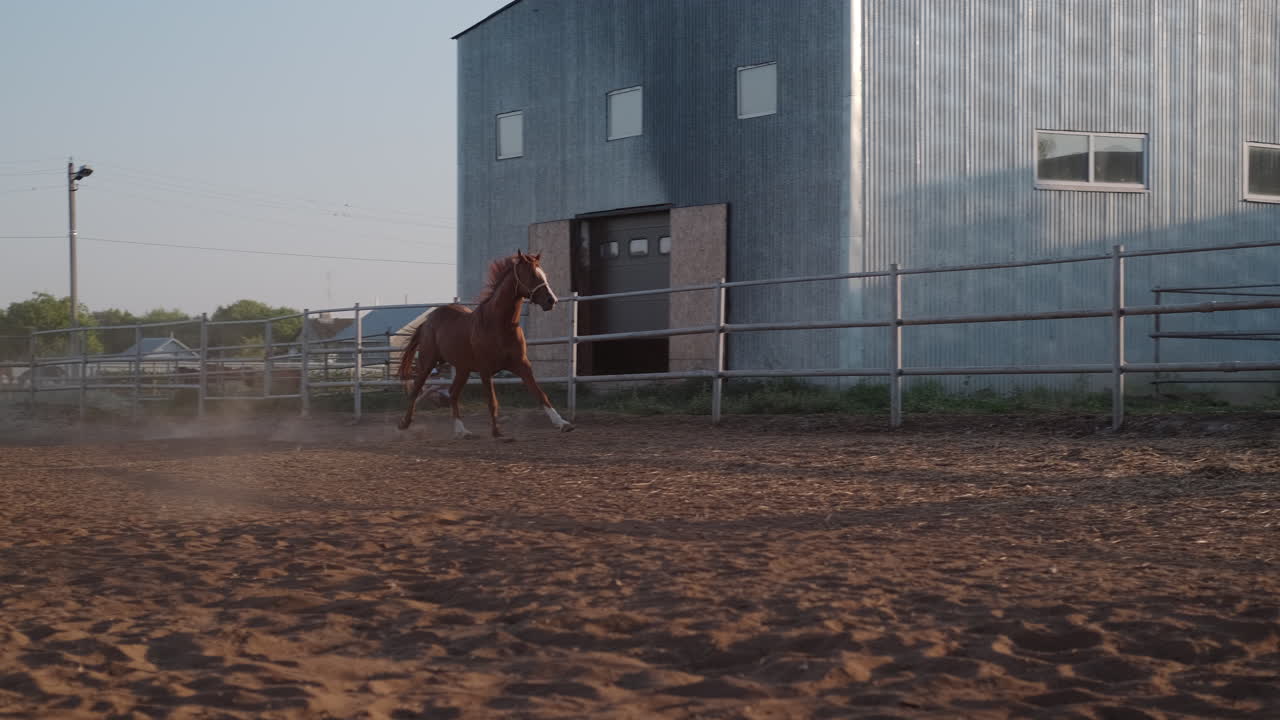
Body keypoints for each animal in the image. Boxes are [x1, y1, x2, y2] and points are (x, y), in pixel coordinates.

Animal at [396, 250, 574, 439]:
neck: (499, 325)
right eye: (532, 275)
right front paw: (497, 432)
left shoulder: (522, 365)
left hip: (463, 369)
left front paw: (563, 424)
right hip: (428, 362)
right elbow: (492, 401)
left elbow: (540, 394)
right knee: (416, 390)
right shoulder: (485, 369)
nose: (551, 301)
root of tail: (429, 319)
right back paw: (404, 424)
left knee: (453, 393)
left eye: (544, 274)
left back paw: (462, 431)